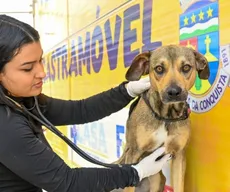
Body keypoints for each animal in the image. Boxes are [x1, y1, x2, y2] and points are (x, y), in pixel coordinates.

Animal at [112, 45, 209, 192]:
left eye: (186, 67)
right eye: (159, 68)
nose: (174, 92)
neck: (166, 116)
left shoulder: (179, 155)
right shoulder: (134, 153)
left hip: (157, 179)